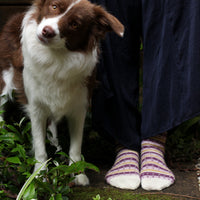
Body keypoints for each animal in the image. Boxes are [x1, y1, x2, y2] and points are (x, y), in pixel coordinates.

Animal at [0, 0, 123, 185]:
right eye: (54, 6)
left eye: (75, 24)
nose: (47, 31)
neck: (56, 58)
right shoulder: (36, 108)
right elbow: (39, 147)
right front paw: (40, 175)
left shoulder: (79, 107)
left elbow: (76, 146)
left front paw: (77, 173)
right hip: (4, 80)